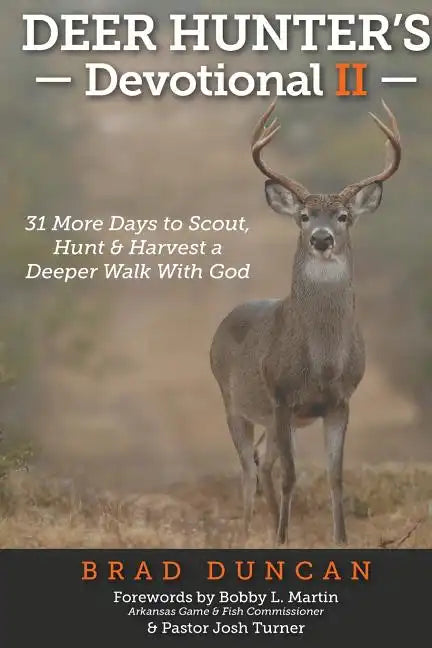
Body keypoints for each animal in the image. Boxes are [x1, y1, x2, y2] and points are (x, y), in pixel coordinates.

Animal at [210, 99, 401, 545]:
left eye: (344, 216)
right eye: (302, 215)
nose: (321, 238)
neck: (322, 364)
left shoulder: (340, 401)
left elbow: (335, 477)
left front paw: (340, 539)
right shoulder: (282, 395)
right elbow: (292, 476)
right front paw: (281, 538)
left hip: (278, 419)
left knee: (262, 463)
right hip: (234, 401)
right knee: (248, 470)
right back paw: (250, 533)